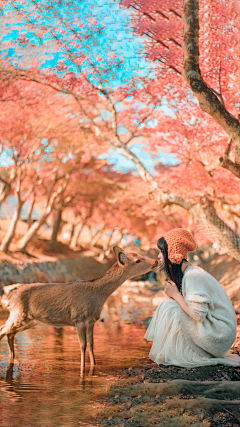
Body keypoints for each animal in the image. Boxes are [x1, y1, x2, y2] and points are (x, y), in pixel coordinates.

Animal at [0, 247, 159, 374]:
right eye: (138, 260)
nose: (156, 262)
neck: (97, 294)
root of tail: (10, 296)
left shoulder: (92, 320)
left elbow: (91, 344)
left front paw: (94, 367)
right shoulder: (78, 318)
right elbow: (82, 346)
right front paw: (82, 370)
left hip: (30, 320)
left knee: (9, 333)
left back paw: (12, 359)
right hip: (19, 314)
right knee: (3, 330)